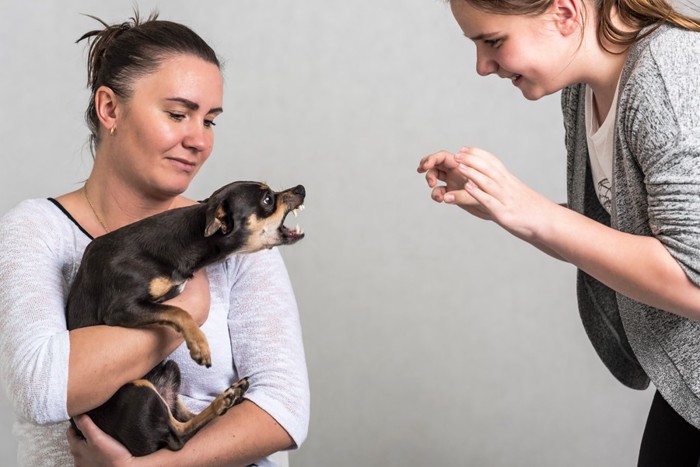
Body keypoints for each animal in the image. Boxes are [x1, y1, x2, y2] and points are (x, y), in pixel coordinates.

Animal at [65, 181, 304, 456]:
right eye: (267, 199)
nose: (301, 188)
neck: (187, 239)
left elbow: (173, 309)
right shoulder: (122, 308)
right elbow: (178, 311)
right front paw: (199, 344)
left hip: (169, 371)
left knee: (183, 418)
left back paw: (230, 396)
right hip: (138, 390)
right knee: (178, 437)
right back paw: (223, 401)